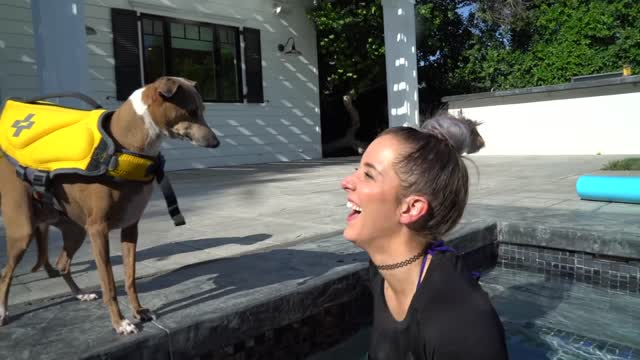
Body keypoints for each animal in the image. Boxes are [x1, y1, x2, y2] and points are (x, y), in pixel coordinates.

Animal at [0, 76, 220, 334]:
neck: (127, 147)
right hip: (23, 231)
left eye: (202, 109)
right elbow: (109, 283)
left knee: (62, 263)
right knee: (6, 274)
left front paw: (139, 311)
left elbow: (129, 277)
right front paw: (120, 323)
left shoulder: (130, 227)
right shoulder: (98, 230)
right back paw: (3, 311)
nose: (216, 142)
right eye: (191, 110)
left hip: (76, 231)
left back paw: (80, 294)